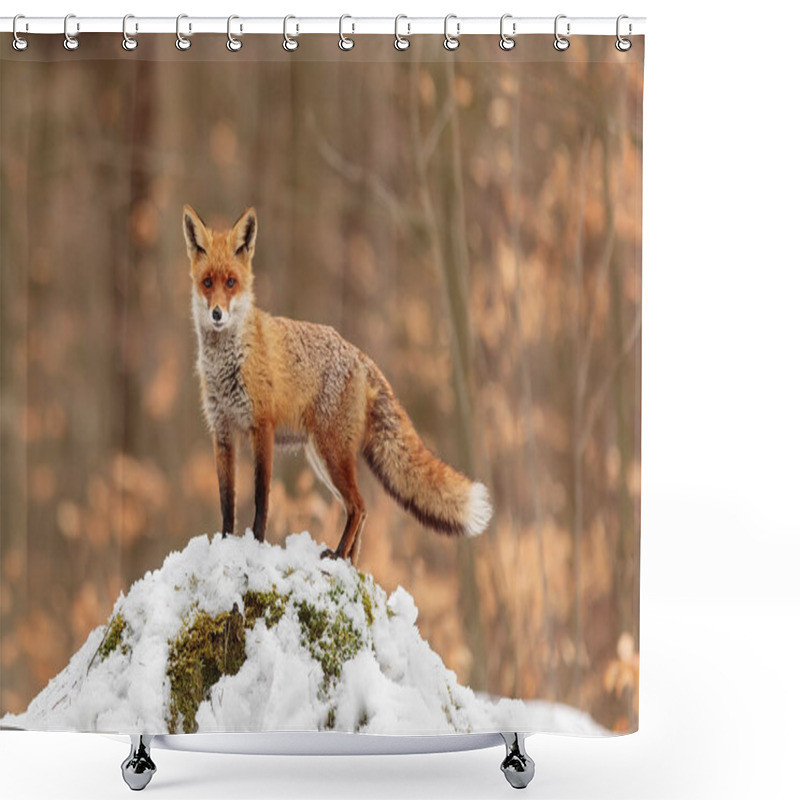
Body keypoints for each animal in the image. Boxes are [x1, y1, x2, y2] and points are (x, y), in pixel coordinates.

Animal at [184, 205, 490, 564]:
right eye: (207, 283)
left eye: (231, 282)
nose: (217, 314)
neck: (228, 362)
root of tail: (360, 356)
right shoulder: (222, 431)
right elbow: (226, 501)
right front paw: (224, 544)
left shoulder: (263, 427)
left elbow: (261, 499)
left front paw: (256, 545)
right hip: (322, 459)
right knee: (359, 509)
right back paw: (349, 562)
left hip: (330, 454)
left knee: (358, 505)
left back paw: (336, 554)